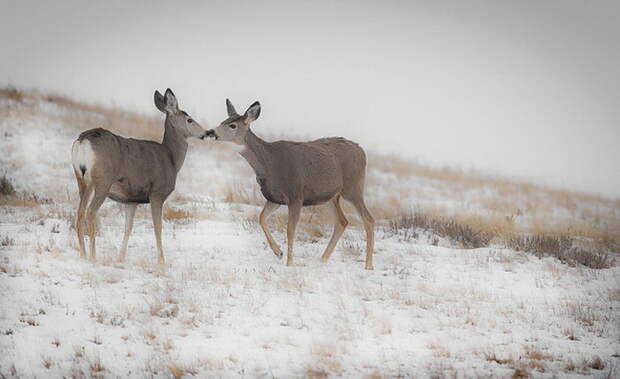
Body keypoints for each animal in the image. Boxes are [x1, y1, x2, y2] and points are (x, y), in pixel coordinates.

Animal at [69, 89, 207, 264]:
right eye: (189, 120)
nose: (206, 133)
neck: (171, 159)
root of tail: (83, 141)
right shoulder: (157, 193)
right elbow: (158, 228)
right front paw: (161, 262)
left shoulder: (131, 200)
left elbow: (128, 228)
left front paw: (120, 258)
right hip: (103, 181)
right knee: (91, 212)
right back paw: (93, 256)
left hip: (81, 179)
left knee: (79, 213)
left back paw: (83, 254)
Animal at [206, 98, 376, 270]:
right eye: (223, 121)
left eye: (232, 125)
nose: (212, 132)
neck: (269, 164)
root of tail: (362, 151)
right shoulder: (274, 198)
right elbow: (261, 218)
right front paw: (278, 252)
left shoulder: (296, 195)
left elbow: (289, 230)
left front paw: (290, 262)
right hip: (329, 196)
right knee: (342, 221)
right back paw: (323, 259)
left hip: (352, 188)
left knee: (369, 219)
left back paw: (368, 265)